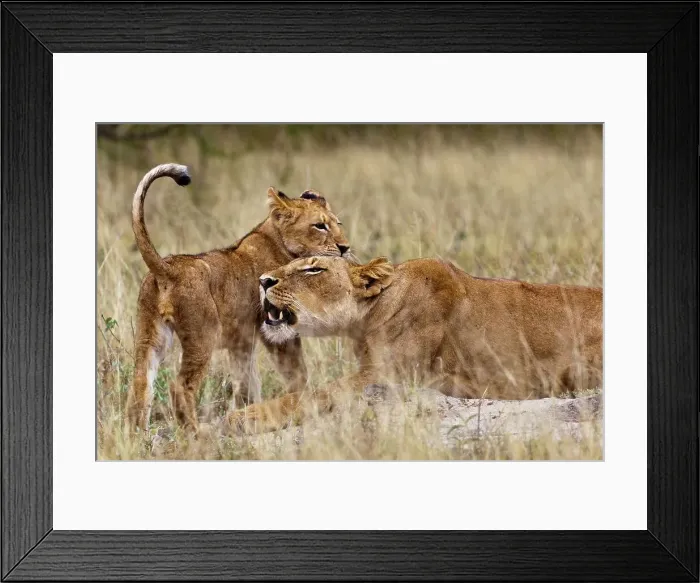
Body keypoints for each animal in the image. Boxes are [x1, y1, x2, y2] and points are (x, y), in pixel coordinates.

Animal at [124, 163, 351, 433]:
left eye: (338, 223)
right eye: (319, 226)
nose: (345, 248)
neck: (279, 243)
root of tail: (165, 267)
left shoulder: (242, 341)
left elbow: (247, 383)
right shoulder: (278, 328)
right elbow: (297, 373)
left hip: (150, 336)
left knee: (140, 384)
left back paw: (137, 435)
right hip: (203, 336)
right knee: (180, 386)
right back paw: (195, 433)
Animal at [228, 254, 602, 433]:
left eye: (313, 270)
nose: (263, 280)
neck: (369, 315)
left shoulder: (387, 377)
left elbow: (314, 394)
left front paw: (244, 417)